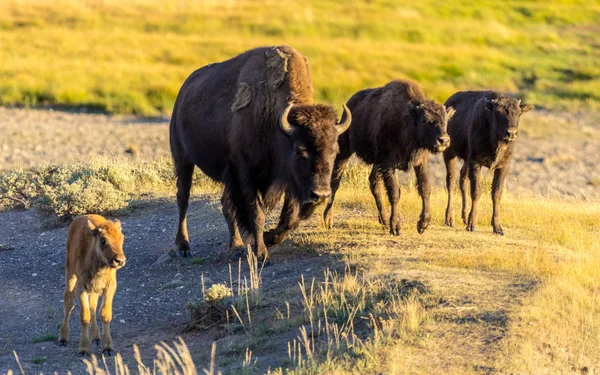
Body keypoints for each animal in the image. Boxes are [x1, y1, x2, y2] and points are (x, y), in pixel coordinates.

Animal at [57, 214, 125, 356]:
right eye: (103, 241)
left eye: (121, 238)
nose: (120, 261)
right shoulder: (81, 286)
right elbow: (85, 316)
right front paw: (83, 349)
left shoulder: (110, 286)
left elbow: (104, 313)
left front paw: (107, 348)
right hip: (70, 273)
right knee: (68, 302)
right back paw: (63, 338)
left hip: (93, 289)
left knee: (93, 306)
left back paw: (96, 337)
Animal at [169, 45, 352, 260]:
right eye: (300, 150)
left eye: (335, 150)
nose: (321, 194)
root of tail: (183, 92)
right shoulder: (245, 174)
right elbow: (257, 214)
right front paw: (261, 253)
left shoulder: (289, 179)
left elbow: (289, 218)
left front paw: (267, 238)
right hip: (183, 159)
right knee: (183, 198)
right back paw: (183, 247)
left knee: (226, 205)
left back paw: (236, 245)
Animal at [322, 80, 452, 235]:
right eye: (424, 120)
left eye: (445, 120)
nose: (443, 140)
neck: (407, 119)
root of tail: (351, 102)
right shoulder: (388, 163)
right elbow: (394, 193)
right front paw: (396, 227)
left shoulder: (420, 162)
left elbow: (425, 188)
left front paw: (422, 224)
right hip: (344, 150)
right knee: (335, 181)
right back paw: (328, 219)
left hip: (376, 163)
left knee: (373, 183)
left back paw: (383, 220)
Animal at [440, 90, 536, 235]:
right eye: (498, 113)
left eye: (519, 113)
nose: (511, 133)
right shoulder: (475, 162)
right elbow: (476, 191)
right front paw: (472, 225)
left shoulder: (503, 166)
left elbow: (496, 193)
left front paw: (498, 227)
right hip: (449, 152)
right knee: (451, 182)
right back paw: (450, 219)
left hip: (465, 160)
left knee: (462, 178)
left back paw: (464, 216)